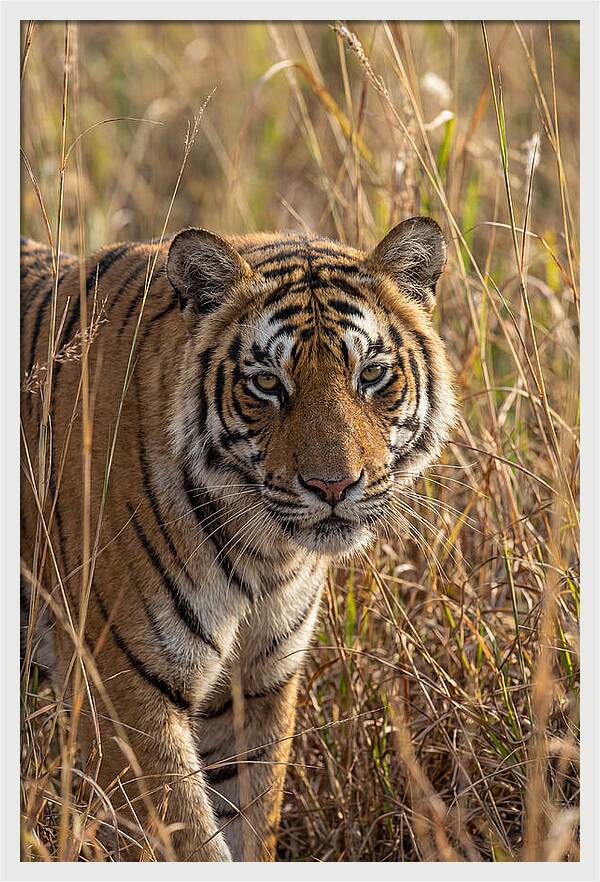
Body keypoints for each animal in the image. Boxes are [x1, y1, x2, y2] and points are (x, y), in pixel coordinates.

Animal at [20, 216, 457, 861]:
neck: (264, 555)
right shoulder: (122, 690)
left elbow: (250, 819)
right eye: (268, 384)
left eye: (372, 375)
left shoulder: (257, 683)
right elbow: (188, 840)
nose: (333, 485)